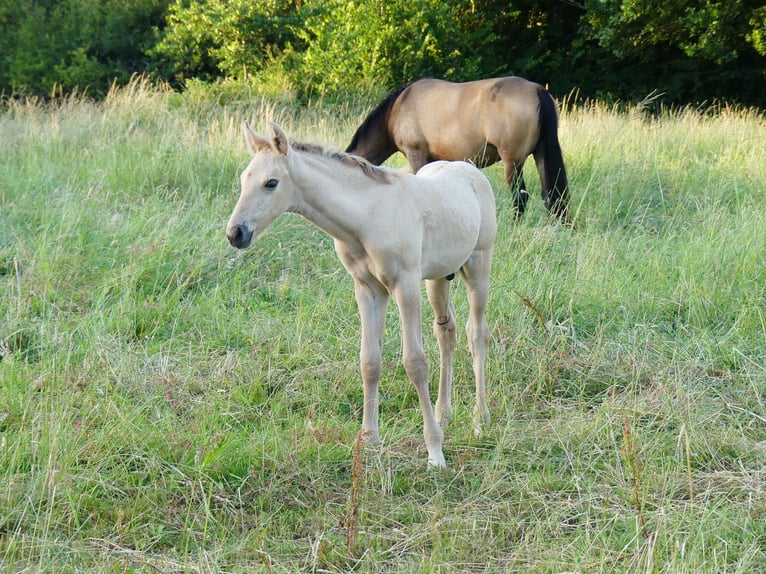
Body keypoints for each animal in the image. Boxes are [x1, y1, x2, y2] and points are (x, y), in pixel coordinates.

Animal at [227, 121, 497, 468]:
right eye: (243, 179)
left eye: (271, 183)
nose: (236, 233)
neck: (367, 217)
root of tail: (468, 168)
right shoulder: (368, 289)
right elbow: (369, 361)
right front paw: (369, 440)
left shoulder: (405, 285)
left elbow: (415, 362)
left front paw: (435, 452)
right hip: (438, 278)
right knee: (445, 333)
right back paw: (444, 414)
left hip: (478, 267)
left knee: (476, 334)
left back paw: (479, 419)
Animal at [346, 76, 570, 222]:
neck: (396, 111)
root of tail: (537, 91)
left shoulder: (416, 154)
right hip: (540, 155)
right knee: (551, 195)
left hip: (512, 161)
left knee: (521, 198)